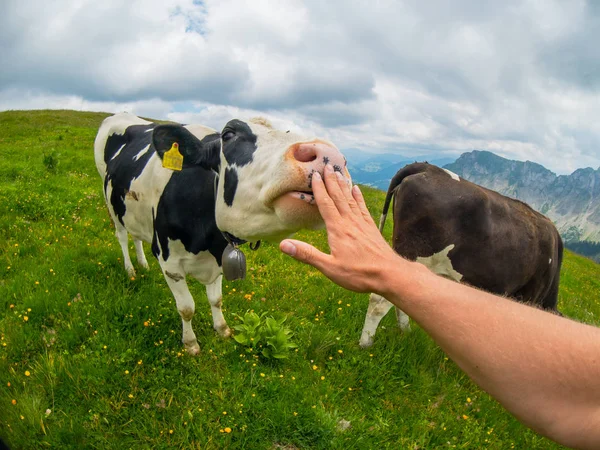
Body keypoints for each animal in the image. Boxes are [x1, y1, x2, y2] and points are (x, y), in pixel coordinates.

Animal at [95, 112, 350, 356]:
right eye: (228, 135)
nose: (328, 154)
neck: (208, 239)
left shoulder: (219, 259)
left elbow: (215, 299)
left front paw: (222, 329)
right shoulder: (169, 262)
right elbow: (186, 308)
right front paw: (190, 344)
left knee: (136, 235)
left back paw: (143, 264)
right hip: (111, 202)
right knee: (122, 236)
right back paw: (130, 269)